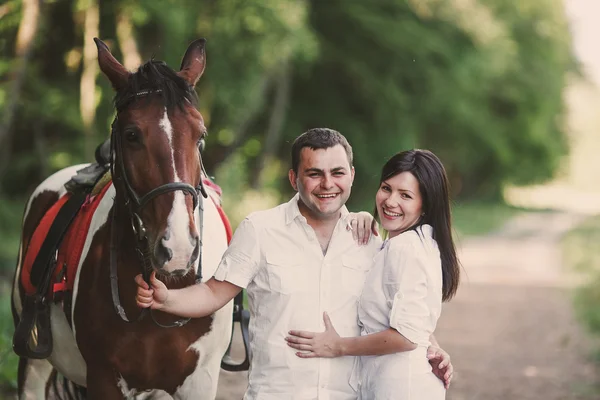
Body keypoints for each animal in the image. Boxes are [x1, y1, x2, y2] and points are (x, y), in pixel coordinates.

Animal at [10, 36, 234, 396]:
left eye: (200, 135)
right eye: (131, 135)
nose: (177, 250)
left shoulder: (199, 381)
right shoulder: (103, 377)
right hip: (34, 364)